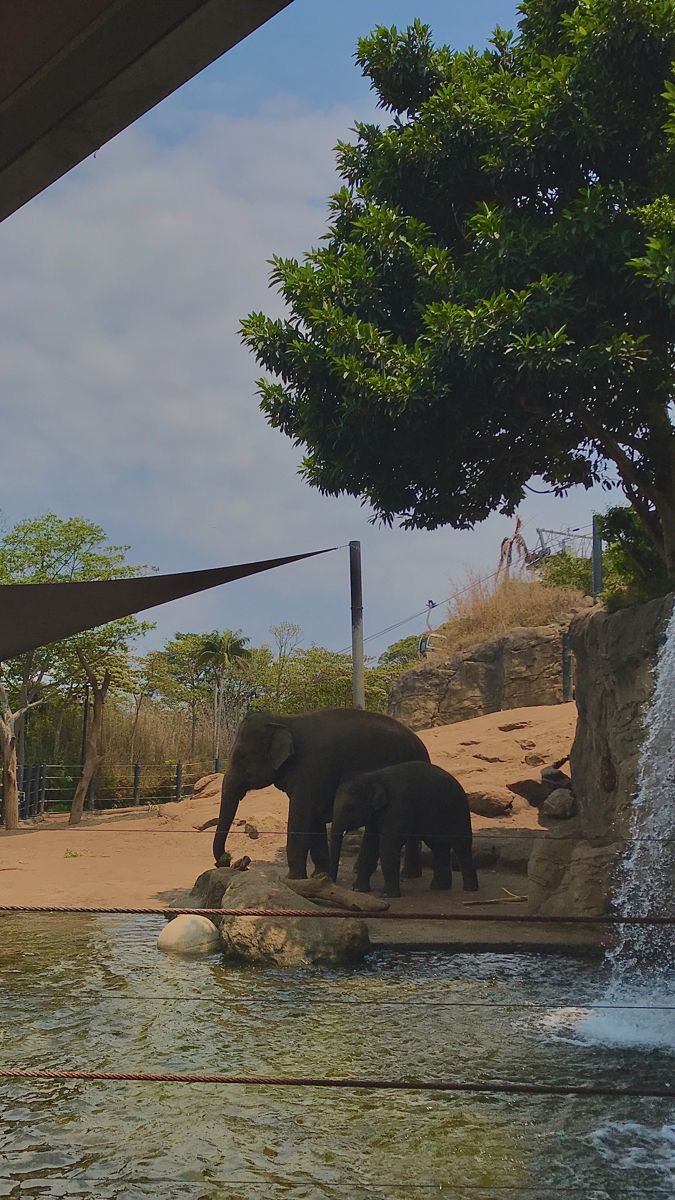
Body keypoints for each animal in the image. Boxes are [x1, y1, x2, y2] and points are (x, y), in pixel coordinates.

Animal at [198, 705, 425, 878]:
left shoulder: (312, 768)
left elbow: (302, 815)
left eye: (241, 756)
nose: (229, 860)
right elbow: (313, 818)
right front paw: (319, 876)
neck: (284, 721)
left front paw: (293, 879)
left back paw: (406, 875)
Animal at [326, 763, 475, 897]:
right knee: (439, 847)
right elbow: (369, 844)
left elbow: (387, 845)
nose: (333, 883)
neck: (373, 776)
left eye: (350, 807)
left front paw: (386, 895)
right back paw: (439, 887)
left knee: (461, 846)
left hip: (459, 812)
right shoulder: (375, 816)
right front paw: (358, 890)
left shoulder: (398, 806)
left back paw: (469, 888)